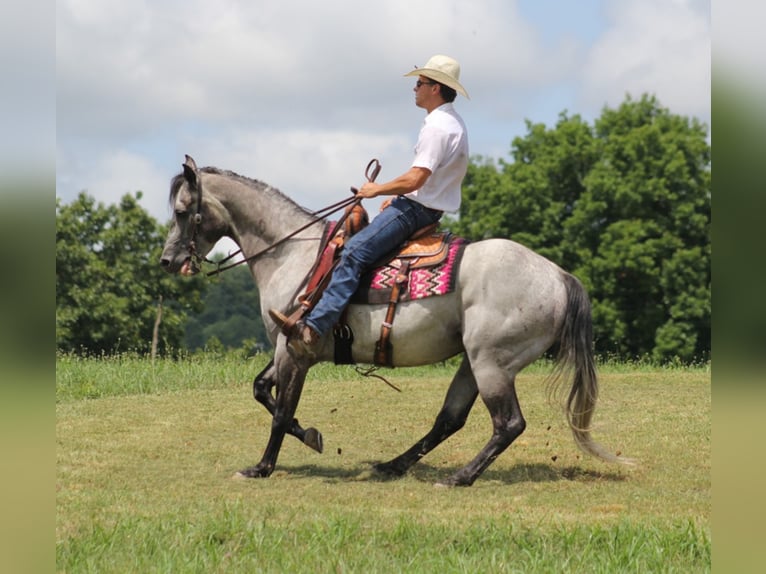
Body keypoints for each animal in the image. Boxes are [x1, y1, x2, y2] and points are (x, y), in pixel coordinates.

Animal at [159, 155, 632, 488]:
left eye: (182, 211)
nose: (167, 260)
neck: (293, 255)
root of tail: (559, 276)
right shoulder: (285, 347)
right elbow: (262, 390)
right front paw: (310, 435)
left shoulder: (295, 348)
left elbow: (280, 411)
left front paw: (261, 467)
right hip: (474, 361)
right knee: (450, 420)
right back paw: (393, 465)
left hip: (492, 363)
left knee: (508, 424)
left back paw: (459, 477)